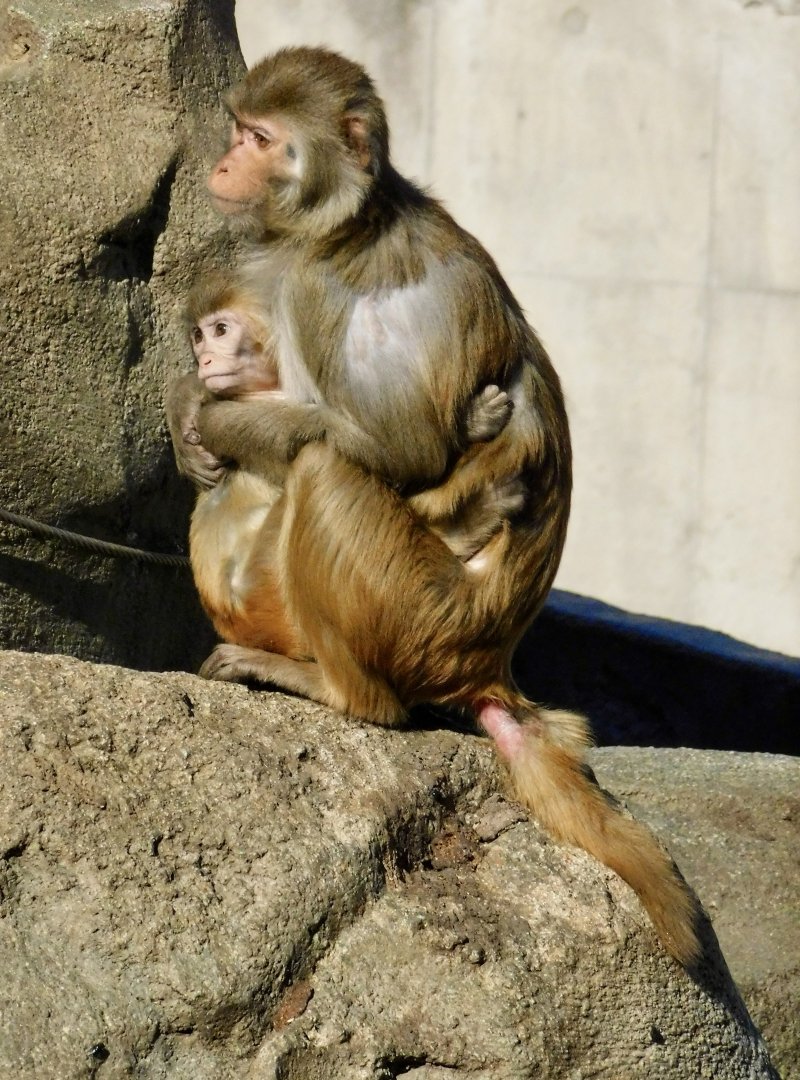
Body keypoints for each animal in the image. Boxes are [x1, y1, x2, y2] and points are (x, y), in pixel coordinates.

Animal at [182, 272, 518, 653]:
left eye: (220, 330)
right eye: (199, 335)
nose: (205, 358)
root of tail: (231, 622)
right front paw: (468, 425)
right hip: (267, 596)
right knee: (314, 462)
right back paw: (466, 528)